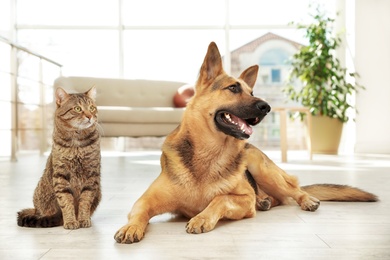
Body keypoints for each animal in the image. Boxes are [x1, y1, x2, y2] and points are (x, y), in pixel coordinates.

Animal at [16, 87, 102, 230]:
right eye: (77, 109)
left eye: (92, 108)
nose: (90, 116)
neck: (77, 143)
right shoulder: (61, 176)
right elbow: (66, 201)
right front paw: (70, 221)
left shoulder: (92, 175)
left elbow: (85, 201)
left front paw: (83, 219)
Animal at [113, 41, 378, 243]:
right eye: (233, 88)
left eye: (251, 93)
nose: (266, 107)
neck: (208, 155)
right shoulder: (144, 201)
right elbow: (138, 213)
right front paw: (131, 227)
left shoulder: (244, 200)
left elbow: (220, 198)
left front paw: (202, 217)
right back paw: (266, 201)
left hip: (261, 167)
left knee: (295, 190)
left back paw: (305, 200)